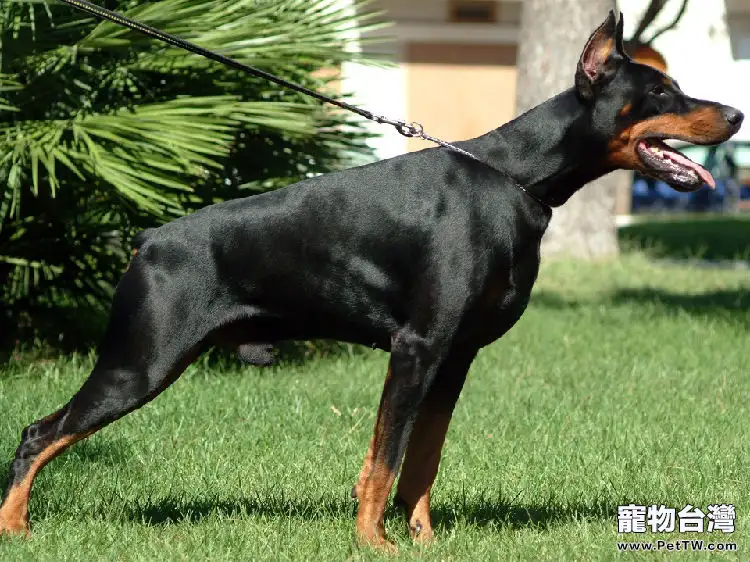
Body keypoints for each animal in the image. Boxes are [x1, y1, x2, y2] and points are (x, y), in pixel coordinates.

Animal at [0, 10, 744, 548]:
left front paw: (424, 541)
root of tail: (149, 239)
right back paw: (16, 527)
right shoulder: (416, 349)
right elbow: (384, 458)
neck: (516, 181)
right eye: (660, 92)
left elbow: (422, 459)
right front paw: (373, 542)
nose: (737, 115)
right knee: (37, 434)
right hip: (141, 362)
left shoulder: (454, 358)